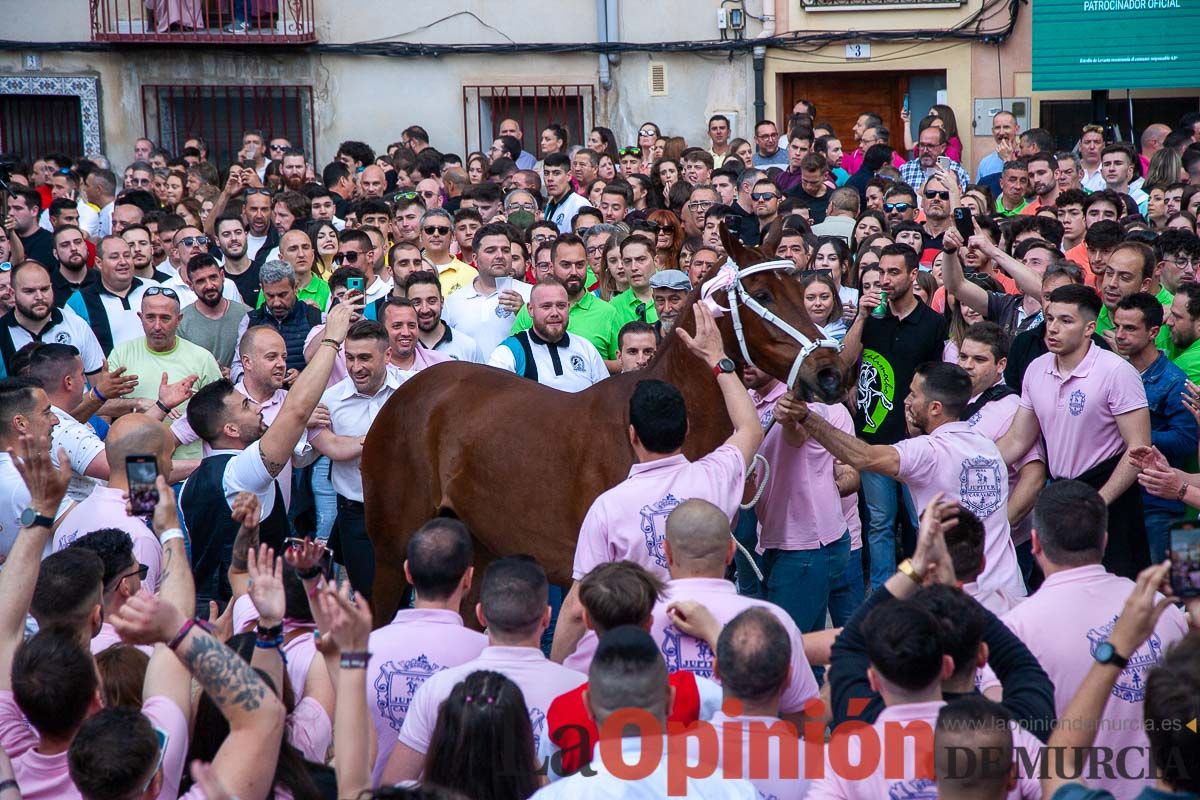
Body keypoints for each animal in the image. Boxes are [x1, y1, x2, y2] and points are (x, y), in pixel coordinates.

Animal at [360, 226, 849, 623]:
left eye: (801, 289)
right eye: (763, 295)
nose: (831, 372)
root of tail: (403, 391)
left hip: (479, 548)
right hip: (391, 554)